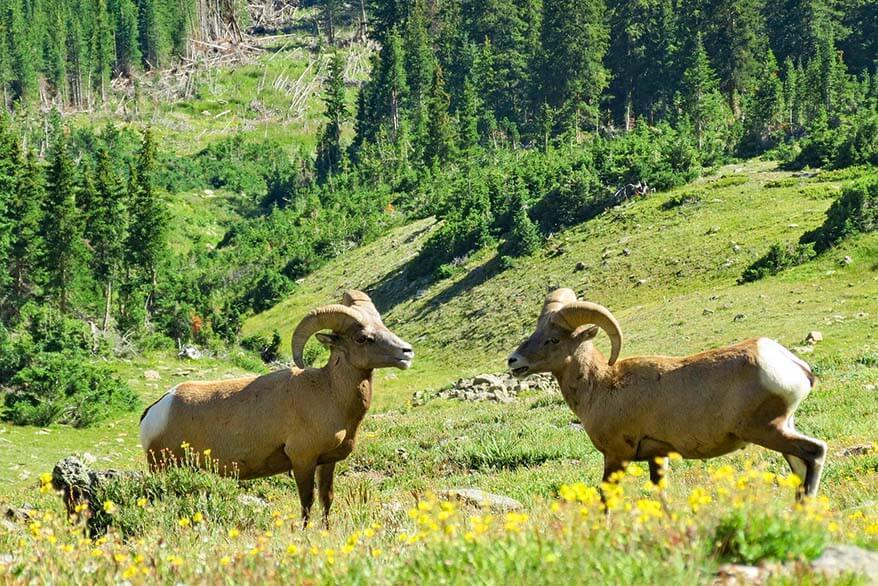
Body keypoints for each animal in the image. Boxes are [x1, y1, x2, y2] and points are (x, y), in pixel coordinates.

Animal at [139, 290, 414, 524]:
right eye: (362, 338)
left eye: (382, 326)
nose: (407, 352)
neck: (328, 392)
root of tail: (155, 411)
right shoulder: (302, 460)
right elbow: (307, 503)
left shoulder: (327, 462)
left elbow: (326, 500)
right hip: (163, 468)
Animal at [508, 288, 832, 498]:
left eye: (552, 339)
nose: (513, 361)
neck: (602, 386)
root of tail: (793, 366)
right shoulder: (658, 457)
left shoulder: (616, 456)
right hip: (781, 430)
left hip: (766, 430)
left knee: (814, 452)